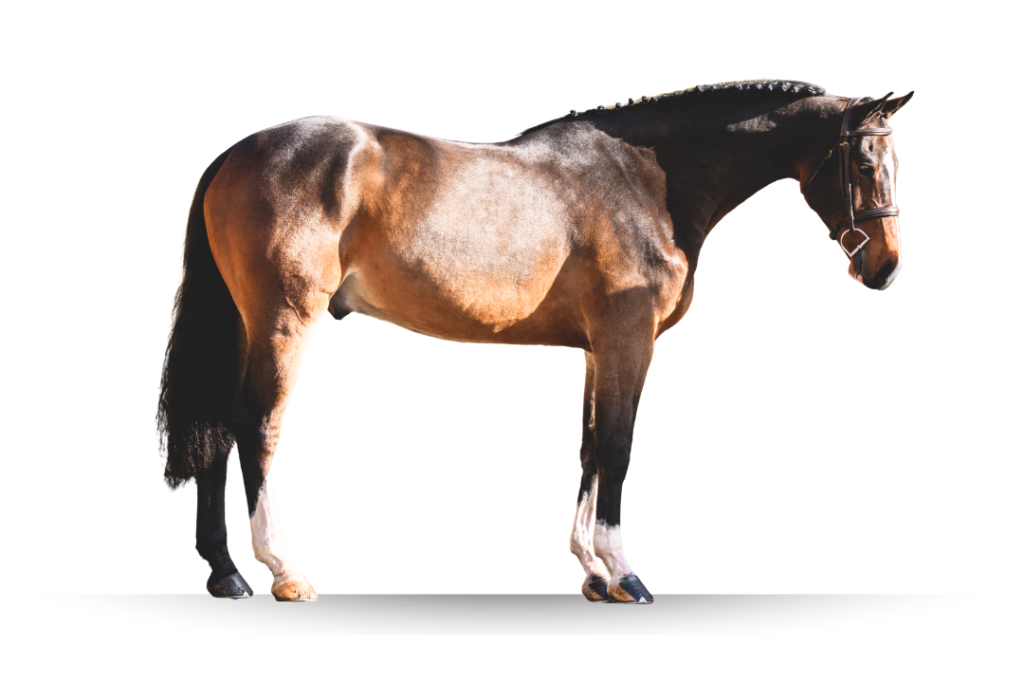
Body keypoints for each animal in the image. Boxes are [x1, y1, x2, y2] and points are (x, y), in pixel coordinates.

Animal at [155, 79, 913, 604]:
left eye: (893, 163)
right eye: (864, 164)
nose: (885, 267)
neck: (648, 179)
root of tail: (240, 151)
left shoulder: (598, 350)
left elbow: (589, 445)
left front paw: (593, 572)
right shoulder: (629, 340)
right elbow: (617, 445)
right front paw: (624, 574)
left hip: (246, 324)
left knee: (217, 429)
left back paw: (227, 576)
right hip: (284, 321)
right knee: (253, 428)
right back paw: (285, 573)